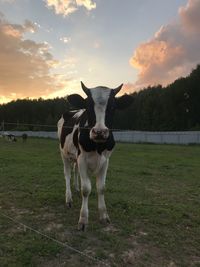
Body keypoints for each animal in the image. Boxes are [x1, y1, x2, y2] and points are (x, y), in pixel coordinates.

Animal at [57, 82, 133, 231]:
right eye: (88, 106)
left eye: (113, 107)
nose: (99, 132)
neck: (98, 146)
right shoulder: (82, 159)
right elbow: (86, 189)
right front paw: (83, 219)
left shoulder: (105, 160)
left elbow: (101, 187)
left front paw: (104, 216)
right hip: (64, 153)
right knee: (67, 174)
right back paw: (69, 199)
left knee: (75, 172)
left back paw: (76, 188)